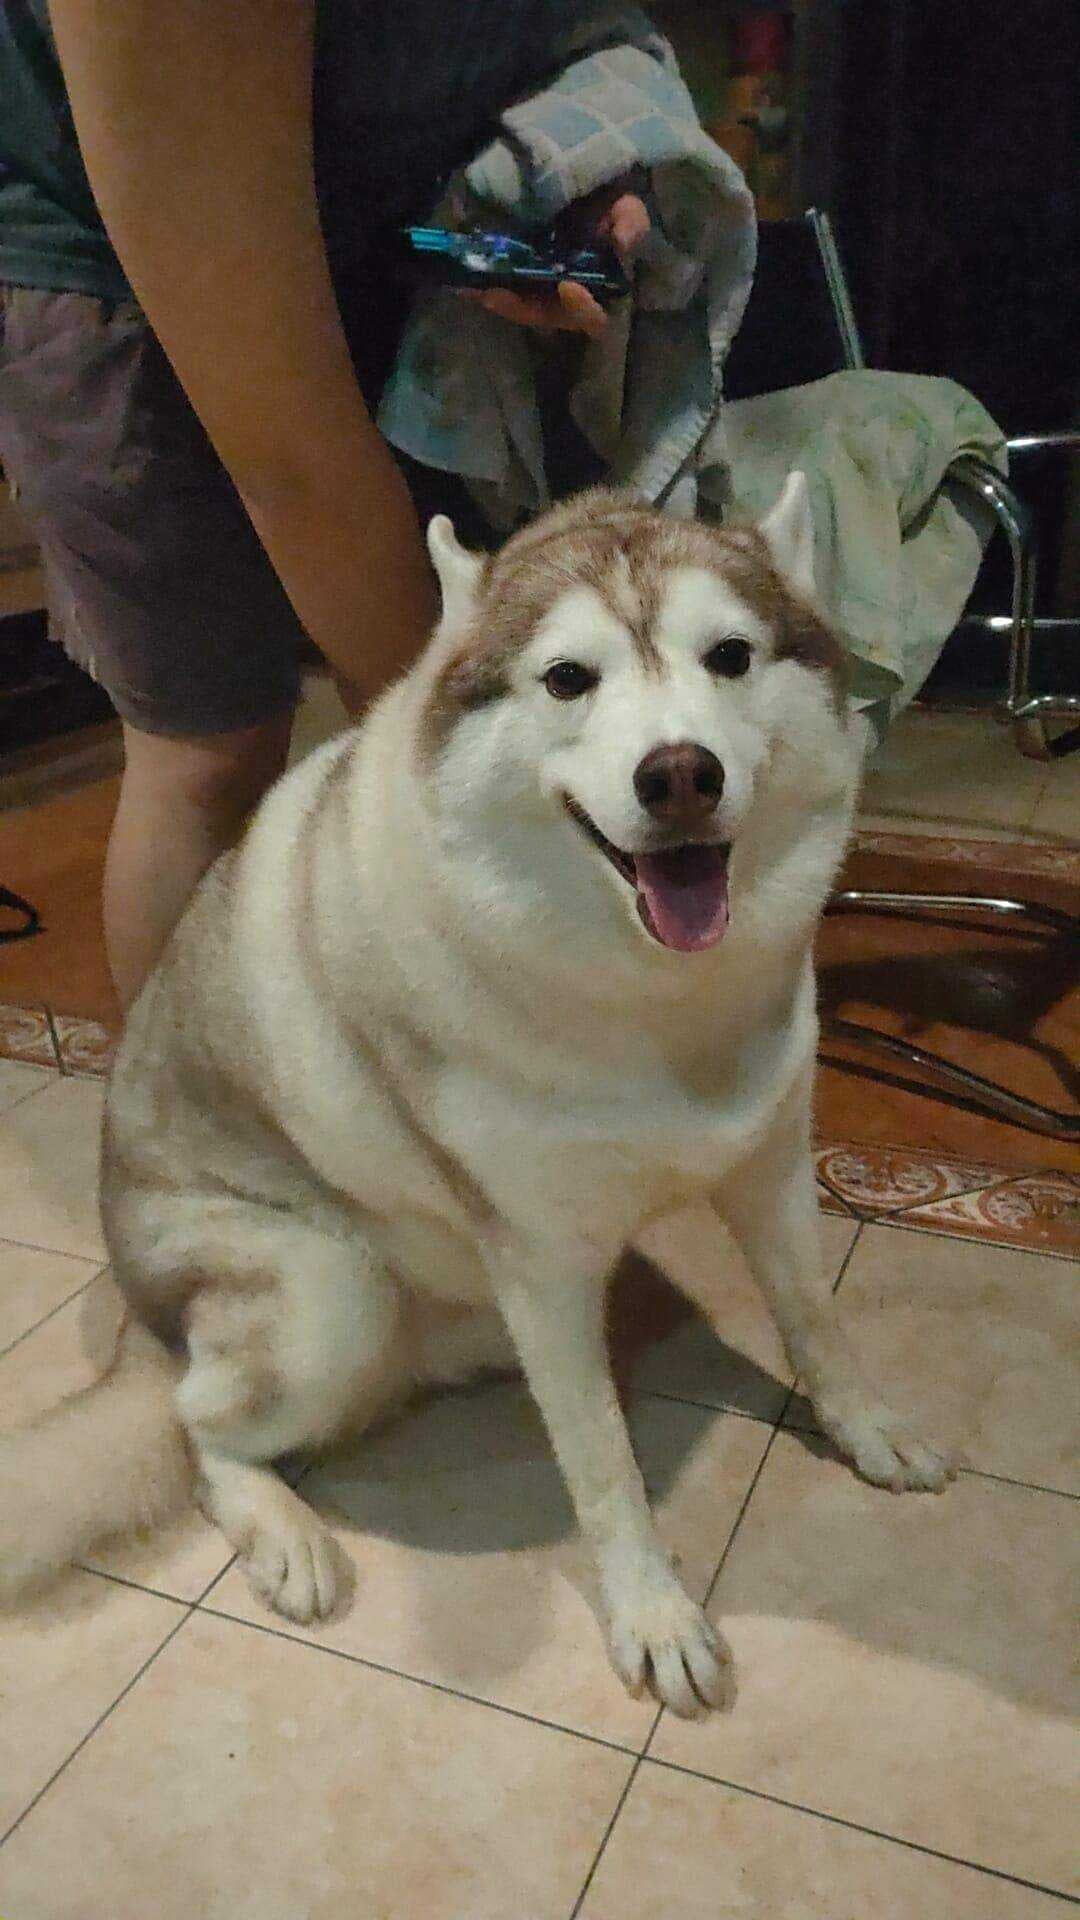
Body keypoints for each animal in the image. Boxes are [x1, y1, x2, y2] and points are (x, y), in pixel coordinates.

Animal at [4, 483, 953, 1728]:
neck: (655, 1006)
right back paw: (281, 1530)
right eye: (568, 678)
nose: (680, 775)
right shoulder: (543, 1268)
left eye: (730, 657)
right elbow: (602, 1466)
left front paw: (870, 1429)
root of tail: (135, 1326)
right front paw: (653, 1614)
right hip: (330, 1295)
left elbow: (817, 1320)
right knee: (199, 1426)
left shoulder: (773, 1170)